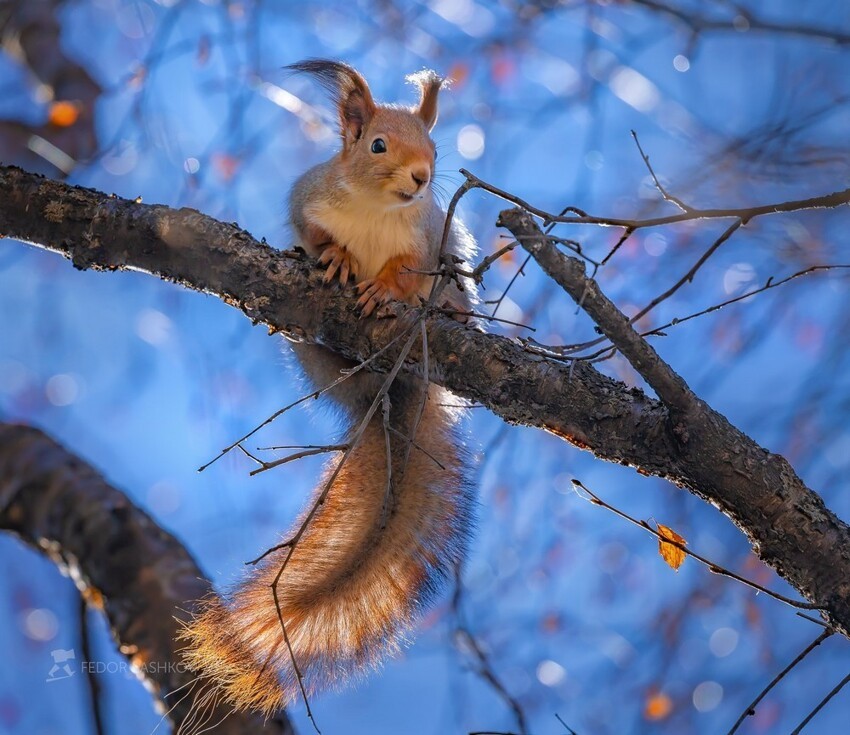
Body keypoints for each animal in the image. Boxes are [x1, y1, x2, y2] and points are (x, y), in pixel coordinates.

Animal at [181, 61, 476, 720]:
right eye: (377, 146)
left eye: (435, 148)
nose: (422, 179)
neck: (374, 206)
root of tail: (385, 394)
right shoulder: (306, 202)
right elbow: (313, 236)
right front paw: (339, 259)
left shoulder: (427, 241)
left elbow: (407, 273)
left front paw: (383, 287)